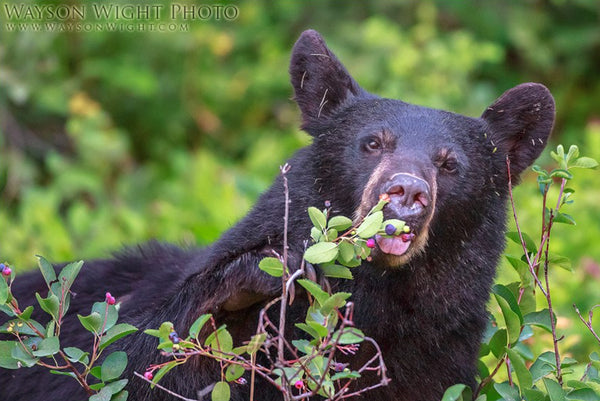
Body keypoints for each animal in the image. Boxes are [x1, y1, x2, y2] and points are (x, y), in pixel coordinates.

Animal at [0, 29, 556, 398]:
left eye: (450, 164)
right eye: (372, 143)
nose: (406, 191)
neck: (378, 299)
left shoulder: (438, 353)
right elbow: (138, 363)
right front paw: (262, 276)